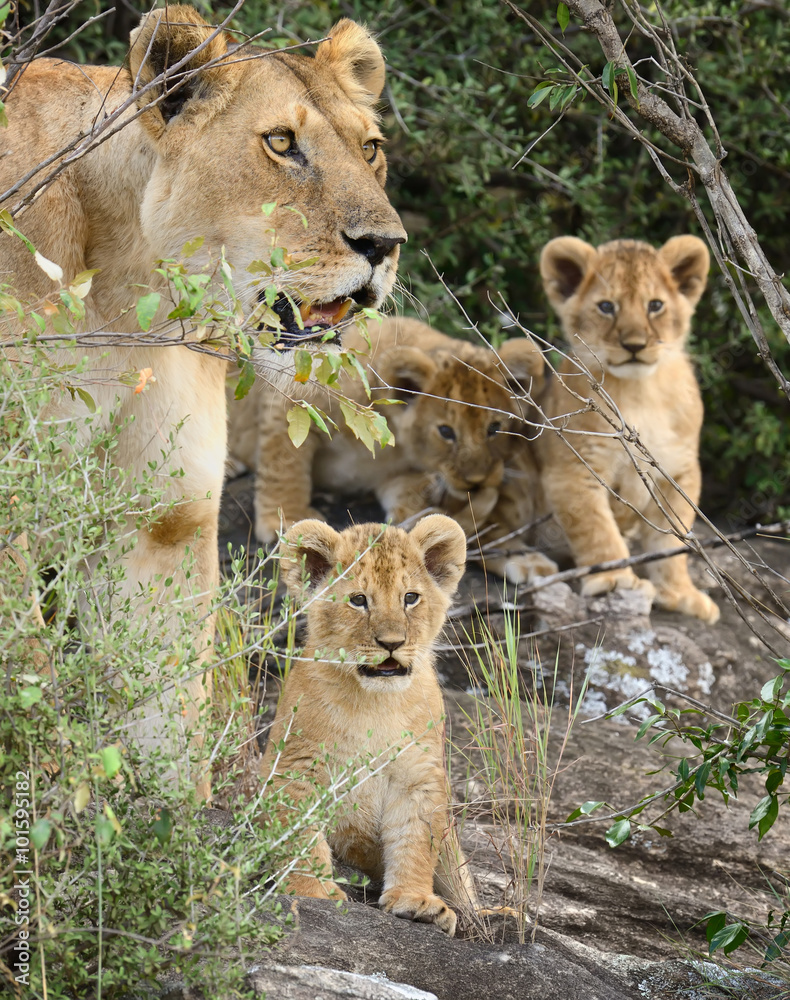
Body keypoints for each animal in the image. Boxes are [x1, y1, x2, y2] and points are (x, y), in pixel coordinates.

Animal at [0, 5, 405, 794]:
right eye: (281, 143)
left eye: (370, 149)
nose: (385, 244)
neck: (121, 287)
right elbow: (25, 667)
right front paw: (54, 787)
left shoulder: (168, 512)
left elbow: (164, 709)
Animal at [228, 315, 557, 584]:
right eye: (446, 432)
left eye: (494, 429)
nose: (476, 482)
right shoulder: (291, 394)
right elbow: (284, 463)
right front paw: (288, 520)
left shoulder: (402, 476)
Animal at [259, 515, 477, 935]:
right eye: (359, 600)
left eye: (410, 598)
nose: (392, 643)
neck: (376, 702)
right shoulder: (296, 766)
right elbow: (300, 837)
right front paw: (312, 891)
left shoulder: (417, 776)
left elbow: (415, 840)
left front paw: (415, 901)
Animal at [535, 235, 720, 623]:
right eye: (606, 306)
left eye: (655, 305)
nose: (634, 345)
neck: (639, 391)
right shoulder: (573, 470)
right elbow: (597, 529)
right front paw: (615, 580)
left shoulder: (678, 472)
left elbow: (672, 541)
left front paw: (680, 594)